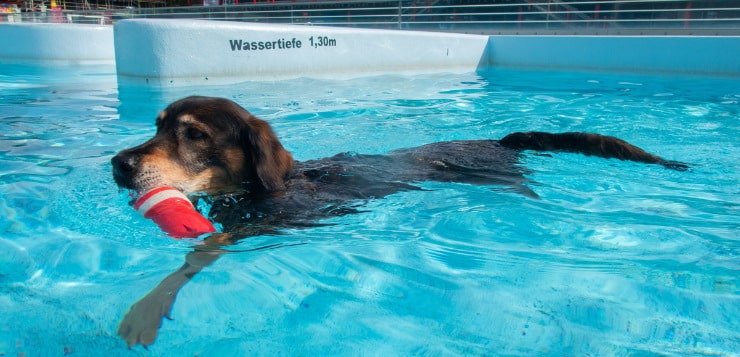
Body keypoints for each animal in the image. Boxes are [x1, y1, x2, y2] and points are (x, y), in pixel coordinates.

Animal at [111, 96, 688, 346]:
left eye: (193, 134)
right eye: (157, 126)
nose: (118, 164)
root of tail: (498, 140)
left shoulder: (264, 228)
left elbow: (199, 253)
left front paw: (145, 310)